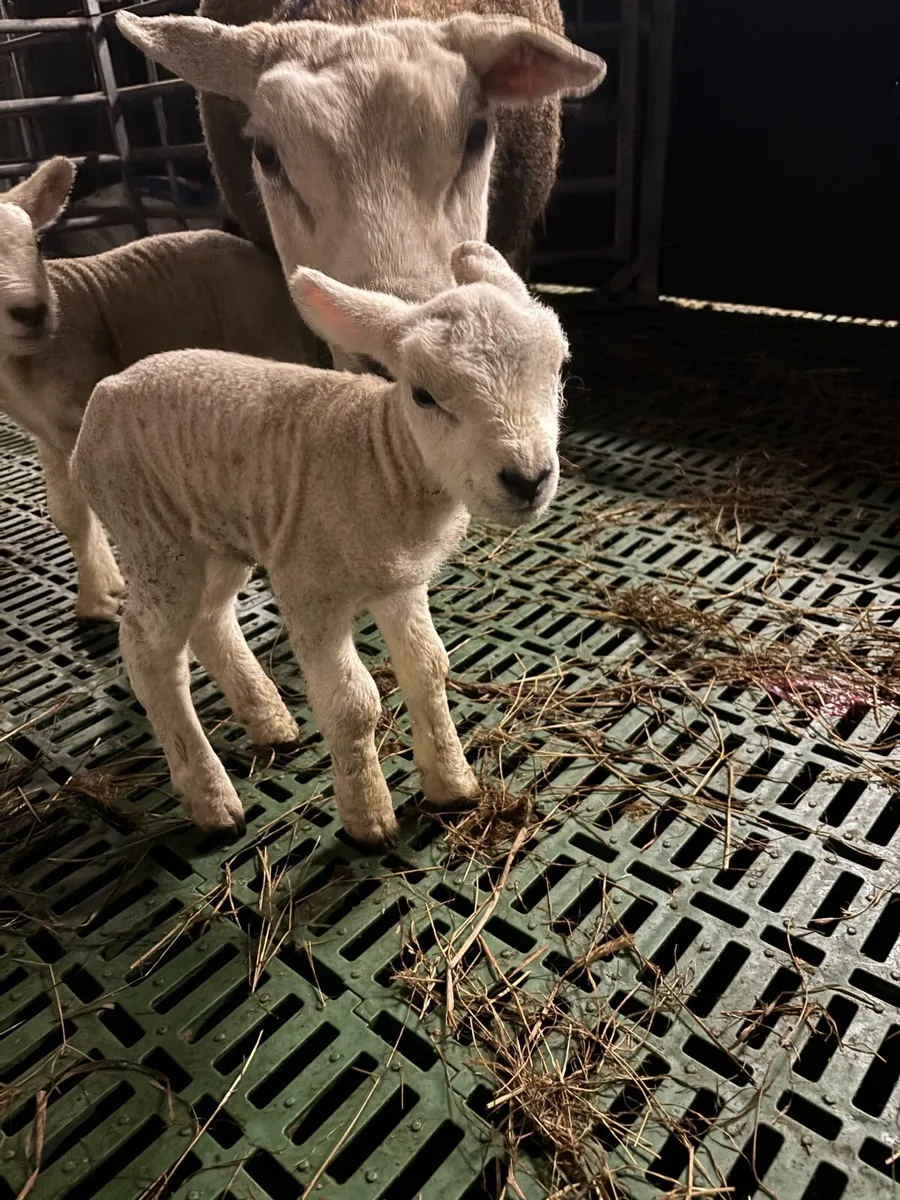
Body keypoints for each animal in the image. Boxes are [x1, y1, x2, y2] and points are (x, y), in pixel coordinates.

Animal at [0, 156, 317, 622]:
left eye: (37, 246)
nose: (33, 312)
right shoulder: (46, 430)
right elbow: (68, 513)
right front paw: (98, 596)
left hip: (273, 338)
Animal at [72, 241, 568, 847]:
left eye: (558, 369)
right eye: (423, 395)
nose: (528, 478)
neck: (383, 458)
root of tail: (104, 392)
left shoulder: (400, 582)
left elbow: (429, 668)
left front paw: (452, 785)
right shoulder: (309, 586)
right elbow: (354, 704)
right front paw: (368, 816)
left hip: (215, 532)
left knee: (210, 617)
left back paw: (268, 720)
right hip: (149, 530)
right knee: (148, 648)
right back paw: (212, 798)